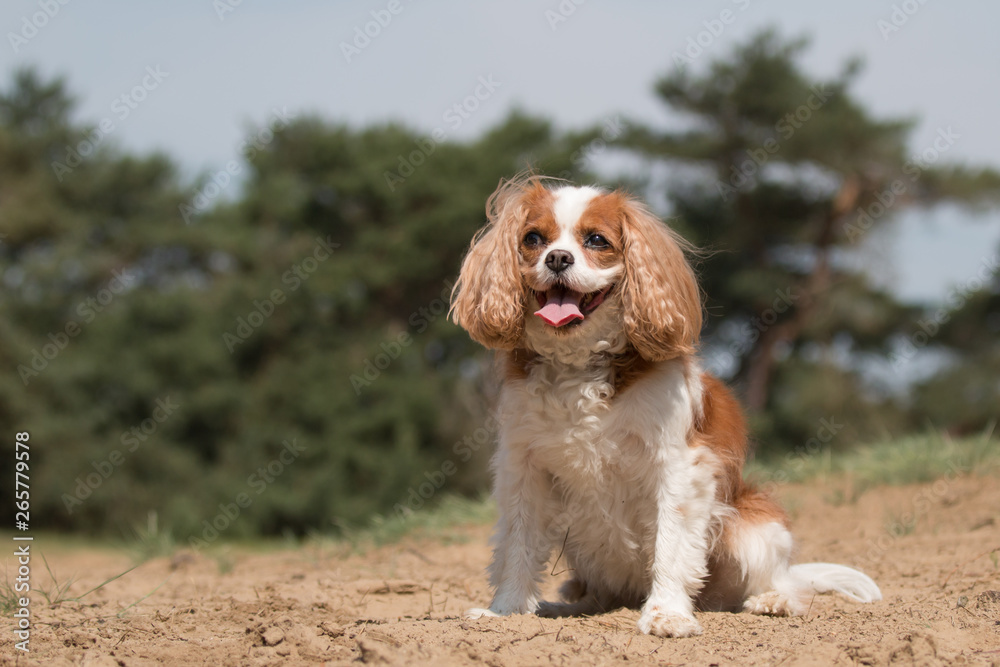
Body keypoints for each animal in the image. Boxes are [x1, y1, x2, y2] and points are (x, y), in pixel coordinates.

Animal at [448, 175, 881, 637]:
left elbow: (671, 545)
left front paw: (668, 614)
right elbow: (518, 543)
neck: (578, 364)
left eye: (596, 240)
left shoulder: (679, 467)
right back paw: (564, 606)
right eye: (532, 239)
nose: (558, 258)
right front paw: (506, 611)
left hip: (754, 527)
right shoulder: (523, 467)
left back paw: (772, 600)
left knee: (780, 582)